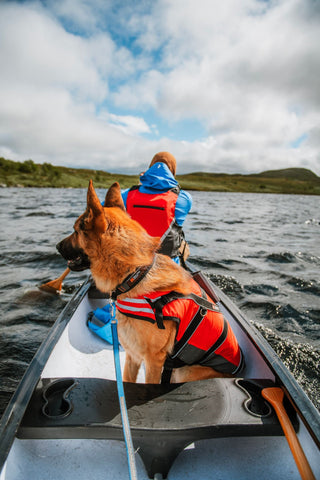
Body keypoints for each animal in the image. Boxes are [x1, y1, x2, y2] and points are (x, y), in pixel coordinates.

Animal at [56, 182, 241, 384]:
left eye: (76, 231)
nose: (56, 246)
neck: (135, 274)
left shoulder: (153, 359)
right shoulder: (132, 355)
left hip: (184, 371)